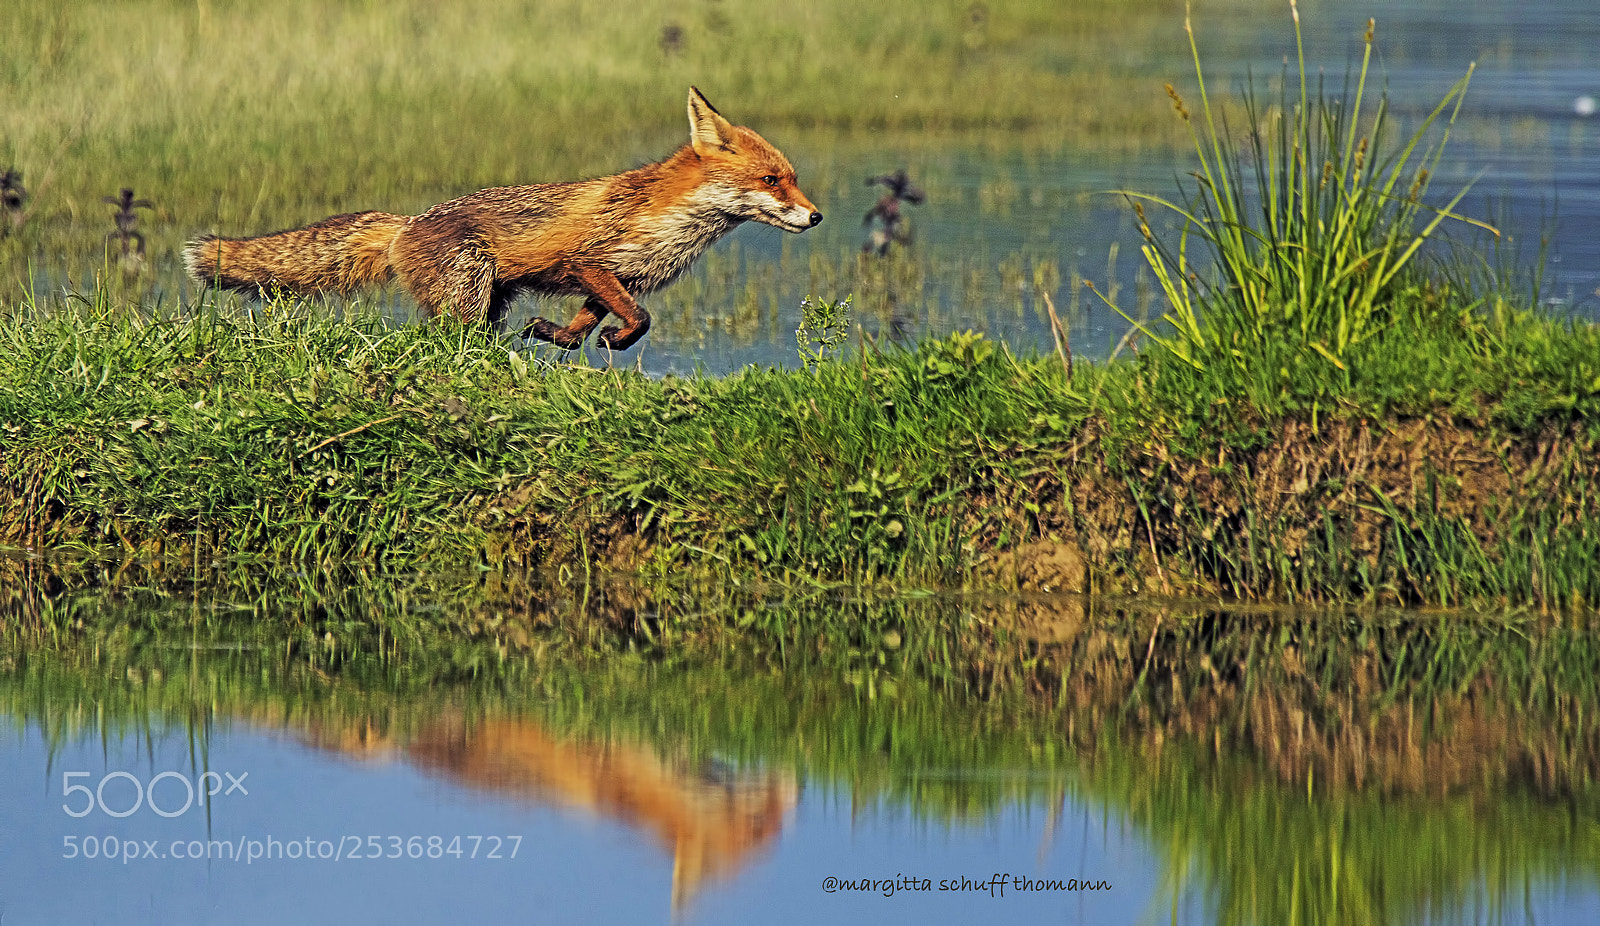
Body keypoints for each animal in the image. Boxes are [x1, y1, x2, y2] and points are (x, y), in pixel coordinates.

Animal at [183, 88, 822, 350]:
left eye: (792, 177)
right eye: (772, 181)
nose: (817, 217)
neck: (671, 222)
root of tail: (406, 225)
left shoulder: (616, 278)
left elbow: (594, 321)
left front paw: (561, 336)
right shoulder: (590, 260)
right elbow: (640, 319)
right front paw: (614, 340)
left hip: (492, 300)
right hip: (467, 299)